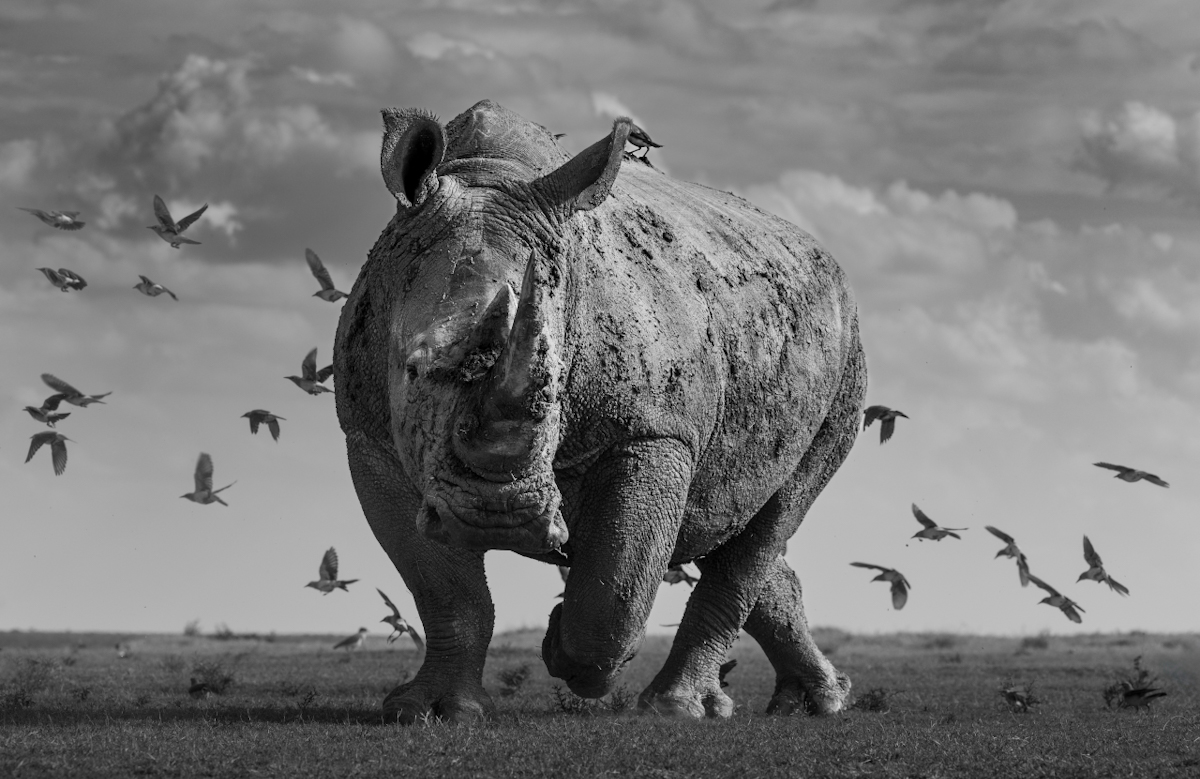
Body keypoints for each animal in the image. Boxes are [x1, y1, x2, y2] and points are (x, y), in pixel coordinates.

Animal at [333, 100, 866, 722]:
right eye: (414, 369)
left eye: (559, 384)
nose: (498, 518)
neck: (489, 174)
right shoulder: (368, 436)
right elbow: (445, 591)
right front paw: (431, 711)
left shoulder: (657, 431)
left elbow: (618, 586)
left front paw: (565, 653)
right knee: (730, 521)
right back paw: (814, 701)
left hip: (848, 357)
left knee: (772, 513)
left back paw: (684, 709)